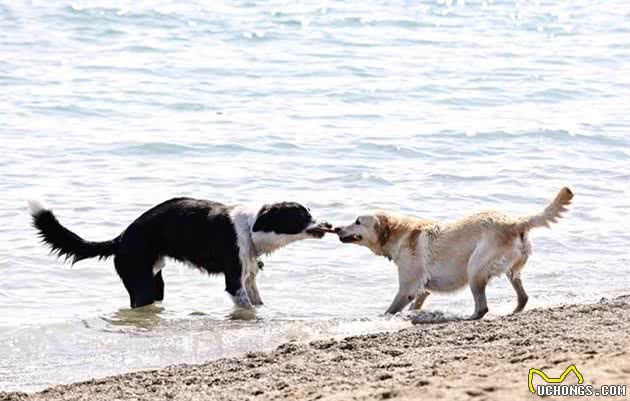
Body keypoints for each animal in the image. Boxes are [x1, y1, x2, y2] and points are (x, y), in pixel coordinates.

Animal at [28, 198, 336, 308]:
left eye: (310, 213)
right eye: (300, 217)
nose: (328, 224)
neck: (250, 228)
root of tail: (122, 237)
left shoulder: (248, 278)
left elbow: (257, 302)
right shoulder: (234, 281)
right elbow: (247, 306)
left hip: (155, 281)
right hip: (141, 284)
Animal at [338, 188, 576, 318]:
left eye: (357, 221)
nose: (338, 228)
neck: (400, 233)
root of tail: (514, 222)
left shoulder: (407, 289)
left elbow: (391, 309)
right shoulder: (422, 290)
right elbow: (416, 303)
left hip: (475, 269)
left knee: (482, 307)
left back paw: (471, 316)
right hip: (511, 271)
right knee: (523, 297)